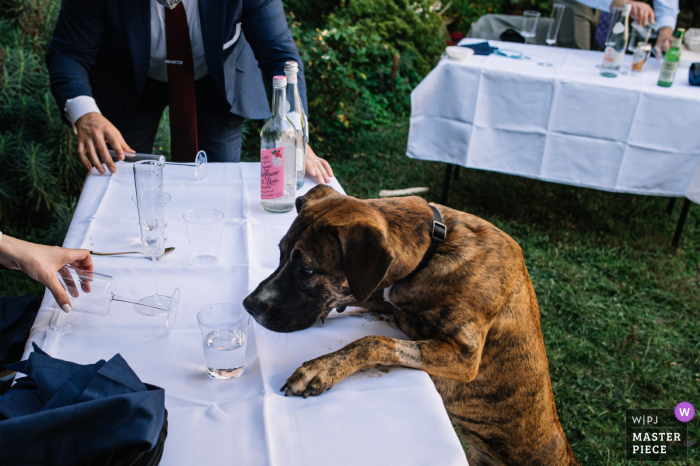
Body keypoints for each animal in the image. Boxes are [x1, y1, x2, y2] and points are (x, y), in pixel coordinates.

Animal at [243, 186, 576, 466]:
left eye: (307, 270)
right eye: (280, 253)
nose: (249, 304)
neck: (434, 247)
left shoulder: (464, 357)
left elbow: (374, 340)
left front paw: (320, 368)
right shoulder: (387, 296)